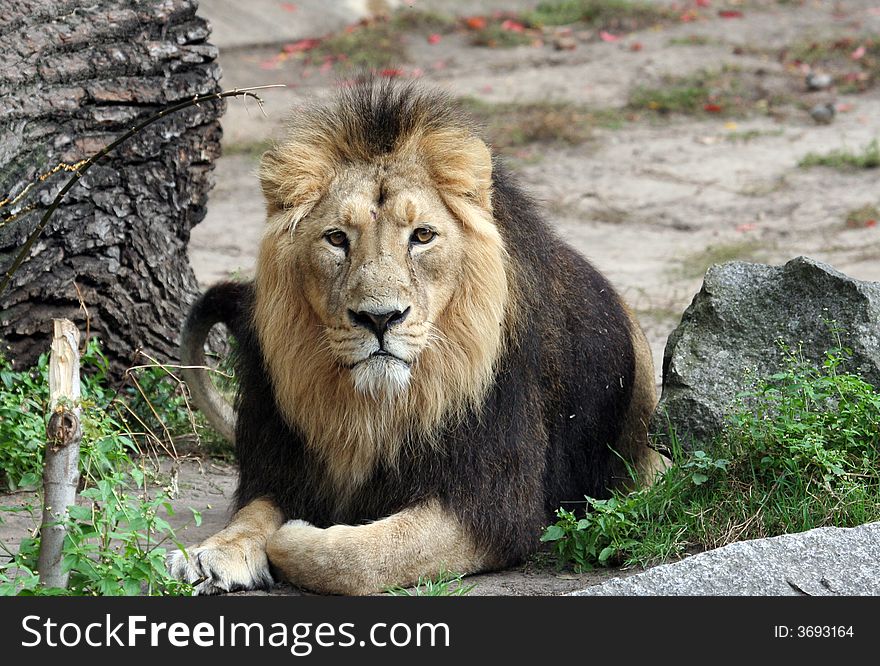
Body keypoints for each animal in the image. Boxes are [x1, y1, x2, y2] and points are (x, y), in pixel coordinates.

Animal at [168, 80, 668, 592]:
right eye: (336, 238)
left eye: (422, 236)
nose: (379, 318)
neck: (376, 410)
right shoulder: (281, 465)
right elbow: (253, 513)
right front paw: (213, 553)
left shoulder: (495, 507)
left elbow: (356, 557)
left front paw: (296, 534)